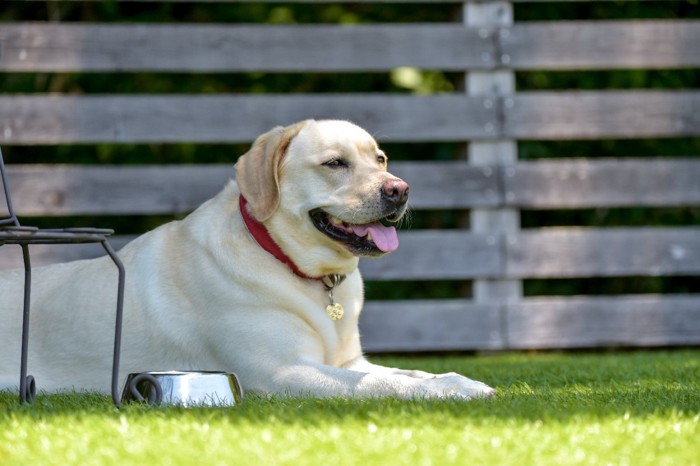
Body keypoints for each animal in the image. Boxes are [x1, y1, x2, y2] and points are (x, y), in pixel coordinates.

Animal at [0, 120, 494, 400]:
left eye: (380, 158)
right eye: (335, 163)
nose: (400, 190)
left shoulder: (349, 362)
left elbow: (408, 371)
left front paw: (455, 379)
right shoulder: (283, 373)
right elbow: (383, 384)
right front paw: (455, 389)